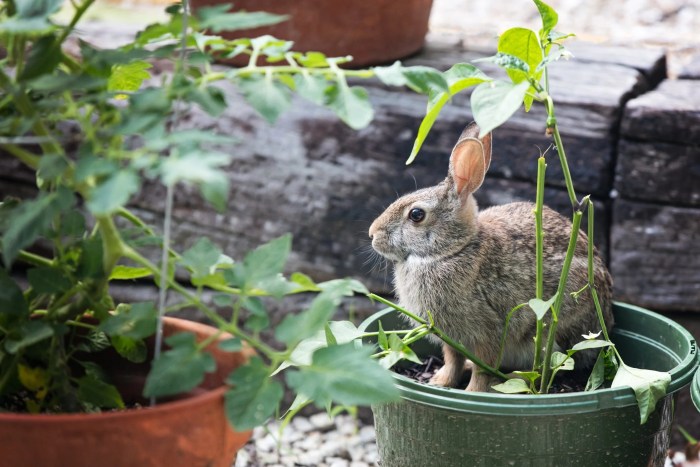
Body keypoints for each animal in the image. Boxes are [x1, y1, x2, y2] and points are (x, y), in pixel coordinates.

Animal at [366, 122, 612, 394]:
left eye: (416, 215)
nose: (372, 234)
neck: (453, 250)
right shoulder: (450, 336)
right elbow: (452, 359)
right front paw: (441, 382)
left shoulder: (488, 331)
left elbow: (483, 367)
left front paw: (472, 392)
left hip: (553, 330)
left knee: (549, 367)